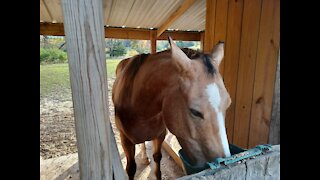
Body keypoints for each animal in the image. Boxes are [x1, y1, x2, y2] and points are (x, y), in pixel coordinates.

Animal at [112, 37, 230, 179]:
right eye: (194, 112)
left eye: (228, 104)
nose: (223, 163)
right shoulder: (125, 141)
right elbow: (131, 168)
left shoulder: (160, 136)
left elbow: (157, 161)